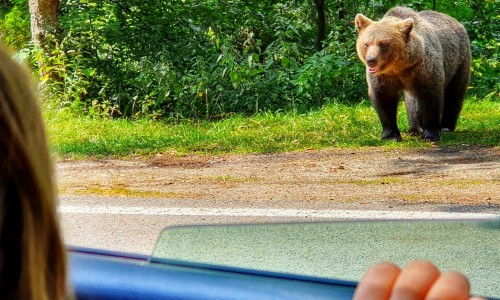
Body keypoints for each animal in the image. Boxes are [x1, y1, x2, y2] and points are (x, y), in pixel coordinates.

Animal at [354, 6, 470, 142]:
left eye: (383, 44)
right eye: (366, 44)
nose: (371, 60)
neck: (398, 68)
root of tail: (454, 20)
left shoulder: (423, 69)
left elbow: (430, 98)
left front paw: (430, 134)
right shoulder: (383, 78)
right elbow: (384, 100)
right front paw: (391, 135)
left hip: (459, 61)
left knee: (454, 92)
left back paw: (446, 127)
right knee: (412, 101)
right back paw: (414, 129)